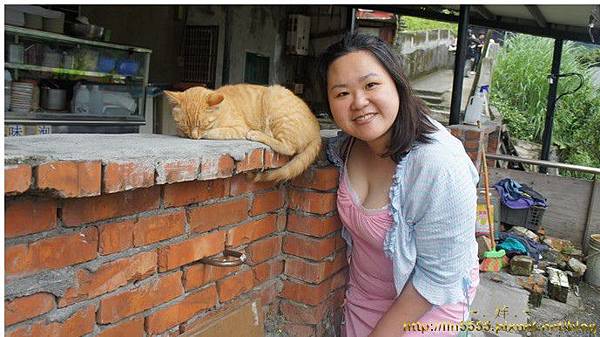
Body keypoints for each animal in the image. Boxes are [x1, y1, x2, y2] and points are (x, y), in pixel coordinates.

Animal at [164, 84, 322, 182]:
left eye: (202, 124)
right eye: (185, 125)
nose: (193, 136)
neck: (220, 111)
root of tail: (317, 129)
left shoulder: (239, 128)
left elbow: (214, 132)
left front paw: (204, 134)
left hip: (275, 104)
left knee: (289, 147)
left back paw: (257, 134)